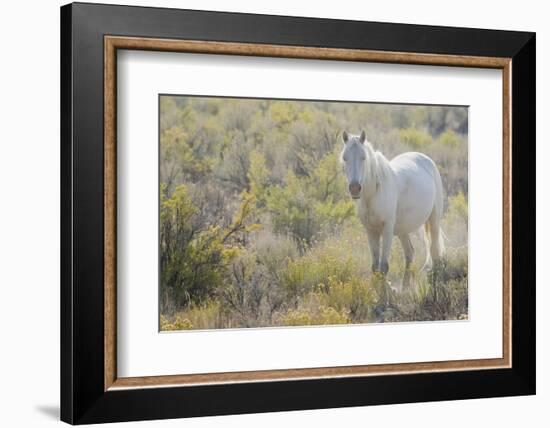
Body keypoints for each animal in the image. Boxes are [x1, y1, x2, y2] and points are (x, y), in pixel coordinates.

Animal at [342, 130, 446, 278]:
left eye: (364, 158)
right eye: (345, 158)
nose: (355, 188)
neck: (373, 194)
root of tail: (426, 159)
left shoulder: (387, 229)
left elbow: (384, 267)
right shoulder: (370, 230)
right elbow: (375, 267)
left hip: (434, 221)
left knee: (435, 251)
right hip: (403, 229)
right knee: (410, 253)